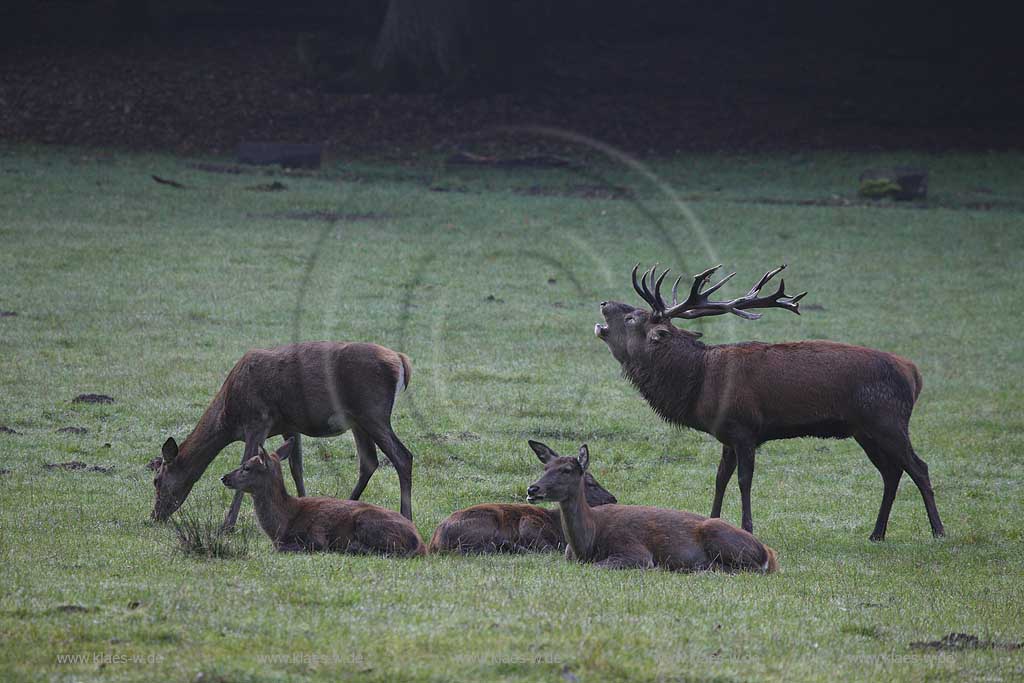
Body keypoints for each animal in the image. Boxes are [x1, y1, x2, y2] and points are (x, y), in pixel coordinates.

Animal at [151, 342, 415, 528]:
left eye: (156, 480)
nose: (154, 516)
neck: (228, 416)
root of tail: (402, 361)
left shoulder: (257, 421)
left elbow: (245, 463)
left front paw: (227, 525)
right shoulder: (290, 425)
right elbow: (296, 468)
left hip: (372, 411)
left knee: (403, 456)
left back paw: (407, 517)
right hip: (358, 421)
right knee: (369, 461)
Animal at [222, 438, 425, 557]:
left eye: (246, 467)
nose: (224, 477)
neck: (283, 523)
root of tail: (420, 542)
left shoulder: (316, 535)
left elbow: (285, 547)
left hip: (367, 522)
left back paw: (353, 547)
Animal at [430, 444, 614, 557]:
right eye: (591, 483)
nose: (612, 498)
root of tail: (435, 542)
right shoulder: (529, 522)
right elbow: (548, 549)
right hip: (482, 525)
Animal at [528, 444, 774, 573]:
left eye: (567, 470)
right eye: (545, 467)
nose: (532, 489)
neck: (586, 543)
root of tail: (767, 552)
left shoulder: (634, 551)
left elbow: (598, 566)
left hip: (720, 536)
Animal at [598, 262, 942, 540]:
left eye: (632, 318)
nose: (603, 303)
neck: (698, 382)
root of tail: (914, 373)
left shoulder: (745, 429)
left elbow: (744, 480)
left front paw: (748, 528)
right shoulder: (726, 436)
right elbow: (720, 479)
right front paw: (712, 519)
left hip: (888, 421)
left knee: (918, 467)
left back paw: (938, 531)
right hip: (864, 430)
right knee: (891, 472)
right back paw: (877, 533)